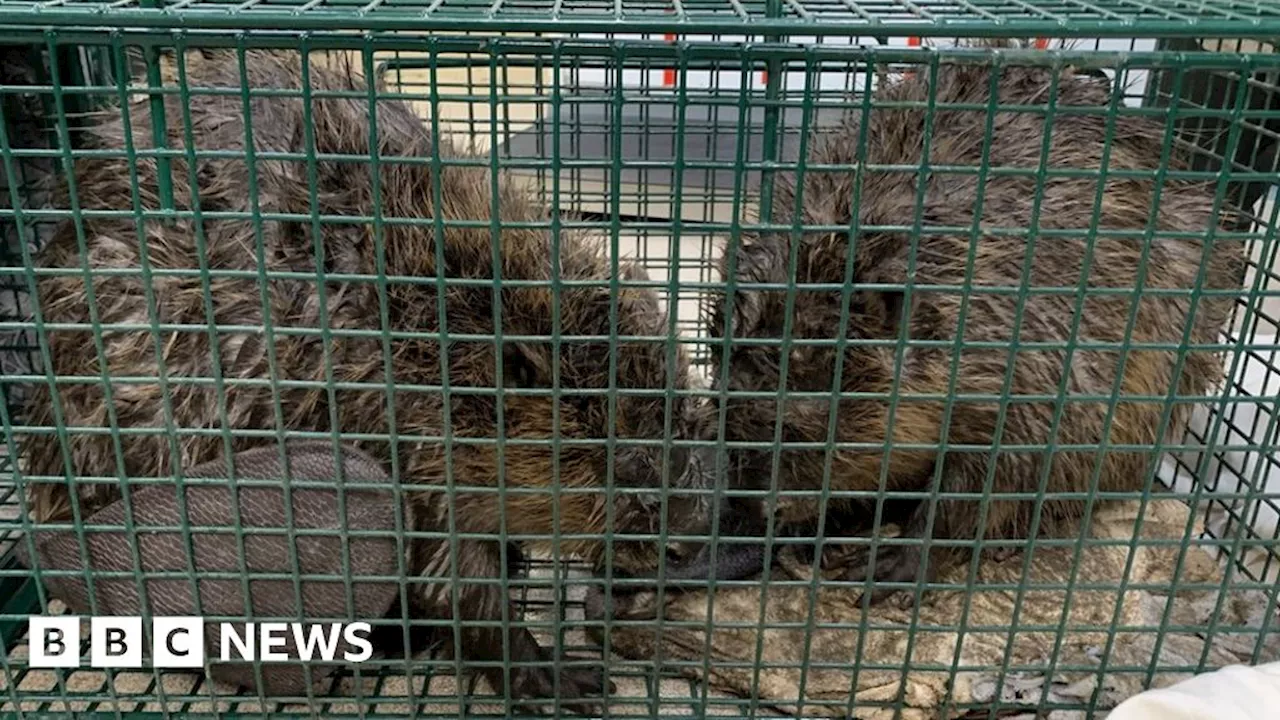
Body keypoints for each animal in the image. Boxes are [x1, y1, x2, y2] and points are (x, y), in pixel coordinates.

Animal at [20, 47, 716, 707]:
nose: (690, 540)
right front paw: (558, 678)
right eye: (623, 461)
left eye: (685, 418)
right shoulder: (411, 448)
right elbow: (456, 584)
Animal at [645, 49, 1244, 599]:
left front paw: (895, 563)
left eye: (809, 420)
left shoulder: (1042, 367)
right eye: (722, 397)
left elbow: (1005, 473)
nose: (740, 514)